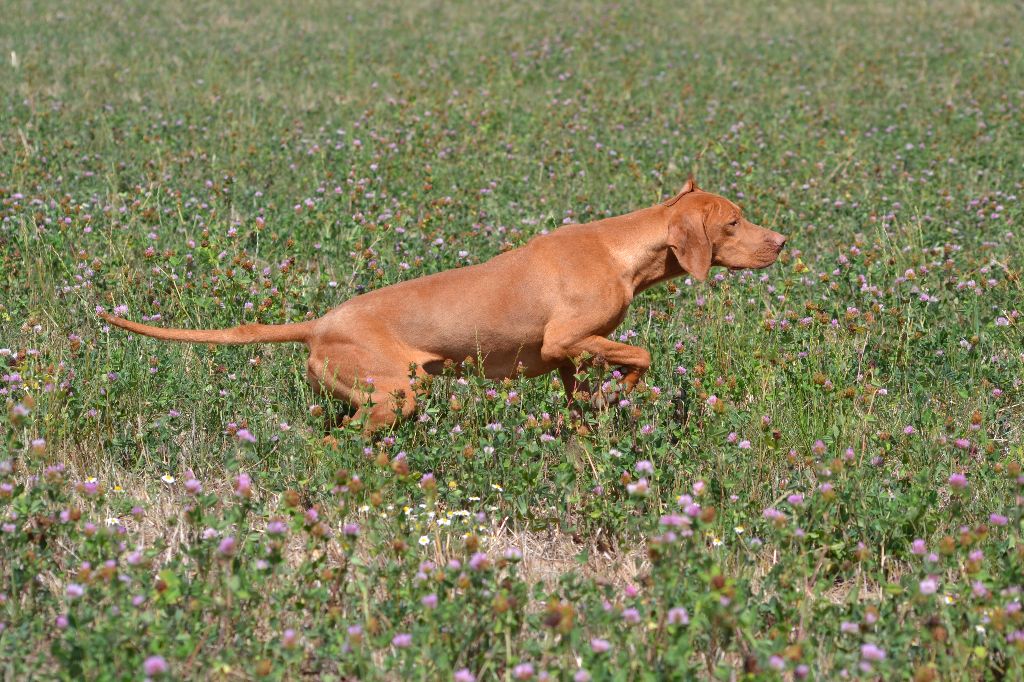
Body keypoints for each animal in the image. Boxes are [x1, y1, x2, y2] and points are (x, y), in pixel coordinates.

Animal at [101, 176, 782, 430]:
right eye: (734, 222)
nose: (781, 242)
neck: (622, 248)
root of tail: (319, 323)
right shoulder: (564, 338)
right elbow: (639, 355)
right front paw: (621, 395)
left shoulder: (565, 357)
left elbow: (581, 388)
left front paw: (593, 412)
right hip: (397, 392)